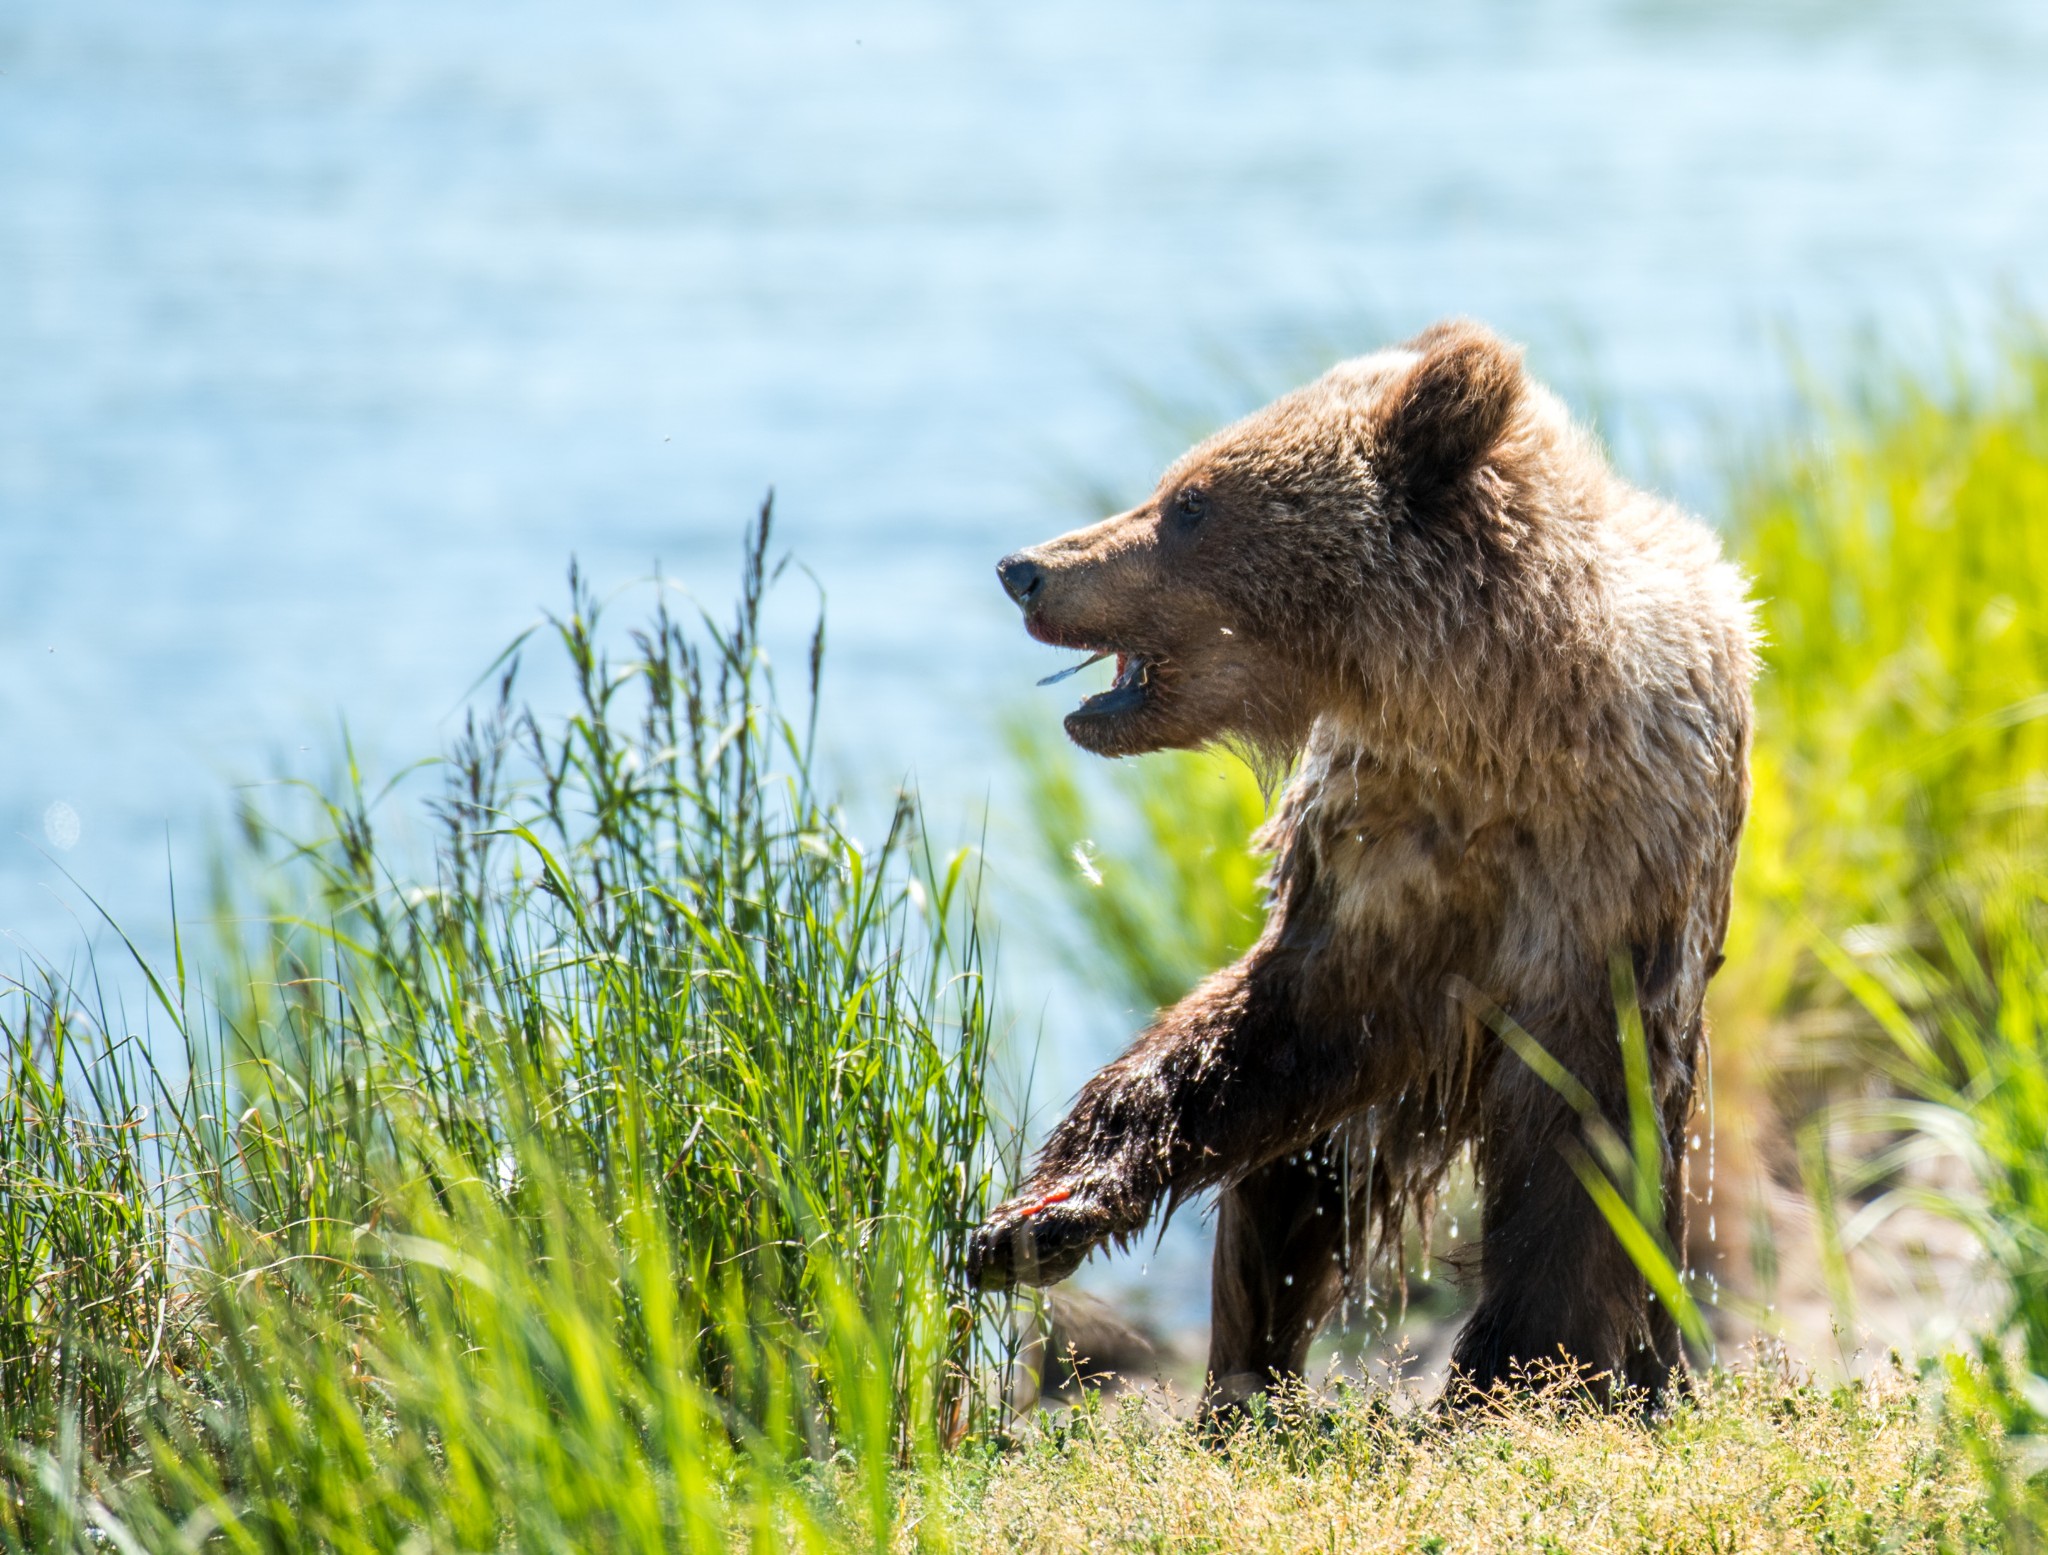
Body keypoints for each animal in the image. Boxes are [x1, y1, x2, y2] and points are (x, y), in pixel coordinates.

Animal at [974, 319, 1761, 1409]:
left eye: (1189, 504)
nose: (1025, 567)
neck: (1480, 725)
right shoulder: (1372, 862)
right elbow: (1264, 1034)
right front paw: (1041, 1211)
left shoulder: (1601, 884)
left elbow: (1577, 1149)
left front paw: (1510, 1375)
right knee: (1293, 1192)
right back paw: (1245, 1382)